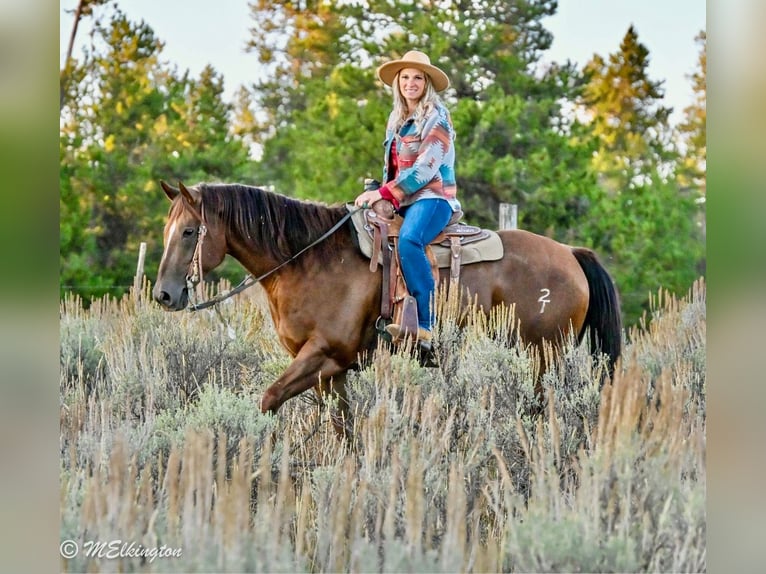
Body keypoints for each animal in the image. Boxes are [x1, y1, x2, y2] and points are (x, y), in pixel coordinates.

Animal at [152, 181, 622, 437]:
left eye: (190, 231)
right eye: (166, 230)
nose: (163, 295)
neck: (310, 259)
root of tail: (570, 253)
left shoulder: (324, 354)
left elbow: (268, 400)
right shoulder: (331, 371)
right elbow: (342, 427)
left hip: (542, 358)